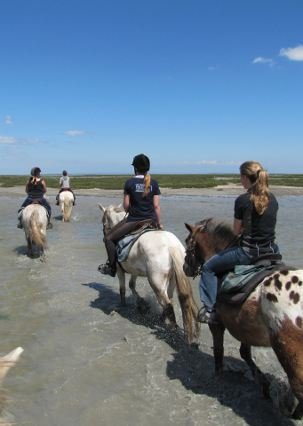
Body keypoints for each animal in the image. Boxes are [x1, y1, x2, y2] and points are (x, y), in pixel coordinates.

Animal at [98, 205, 201, 344]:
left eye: (104, 223)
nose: (104, 234)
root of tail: (171, 246)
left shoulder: (120, 271)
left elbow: (122, 289)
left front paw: (124, 305)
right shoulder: (134, 270)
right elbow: (131, 285)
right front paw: (142, 304)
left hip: (156, 282)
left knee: (167, 304)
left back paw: (172, 329)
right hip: (171, 280)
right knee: (169, 299)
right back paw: (162, 319)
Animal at [184, 220, 303, 420]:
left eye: (188, 244)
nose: (185, 268)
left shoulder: (217, 324)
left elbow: (219, 350)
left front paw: (219, 374)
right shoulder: (244, 327)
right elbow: (245, 353)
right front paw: (263, 384)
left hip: (289, 351)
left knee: (298, 386)